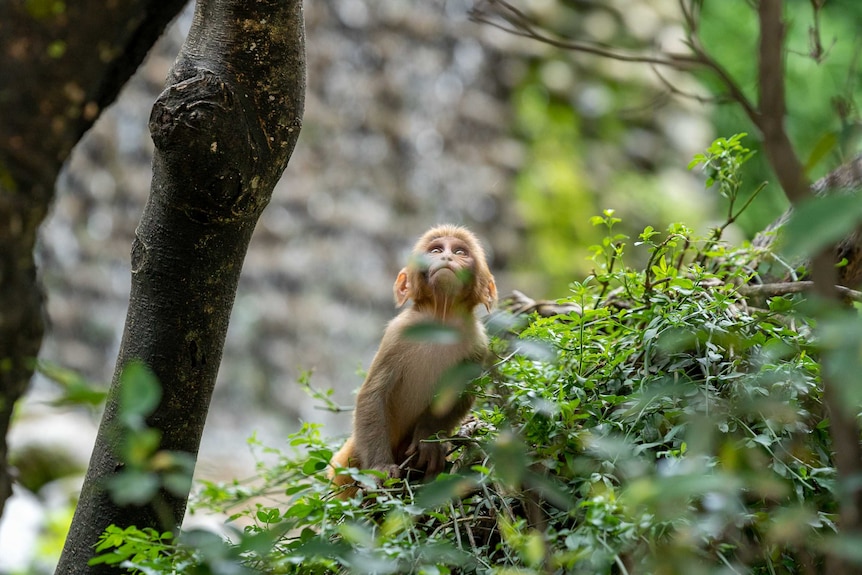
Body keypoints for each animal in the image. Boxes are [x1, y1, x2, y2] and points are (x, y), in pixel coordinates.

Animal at [330, 223, 500, 498]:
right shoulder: (398, 334)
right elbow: (372, 394)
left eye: (460, 252)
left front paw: (428, 440)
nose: (447, 257)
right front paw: (380, 468)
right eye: (436, 250)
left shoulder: (478, 344)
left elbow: (459, 397)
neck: (440, 325)